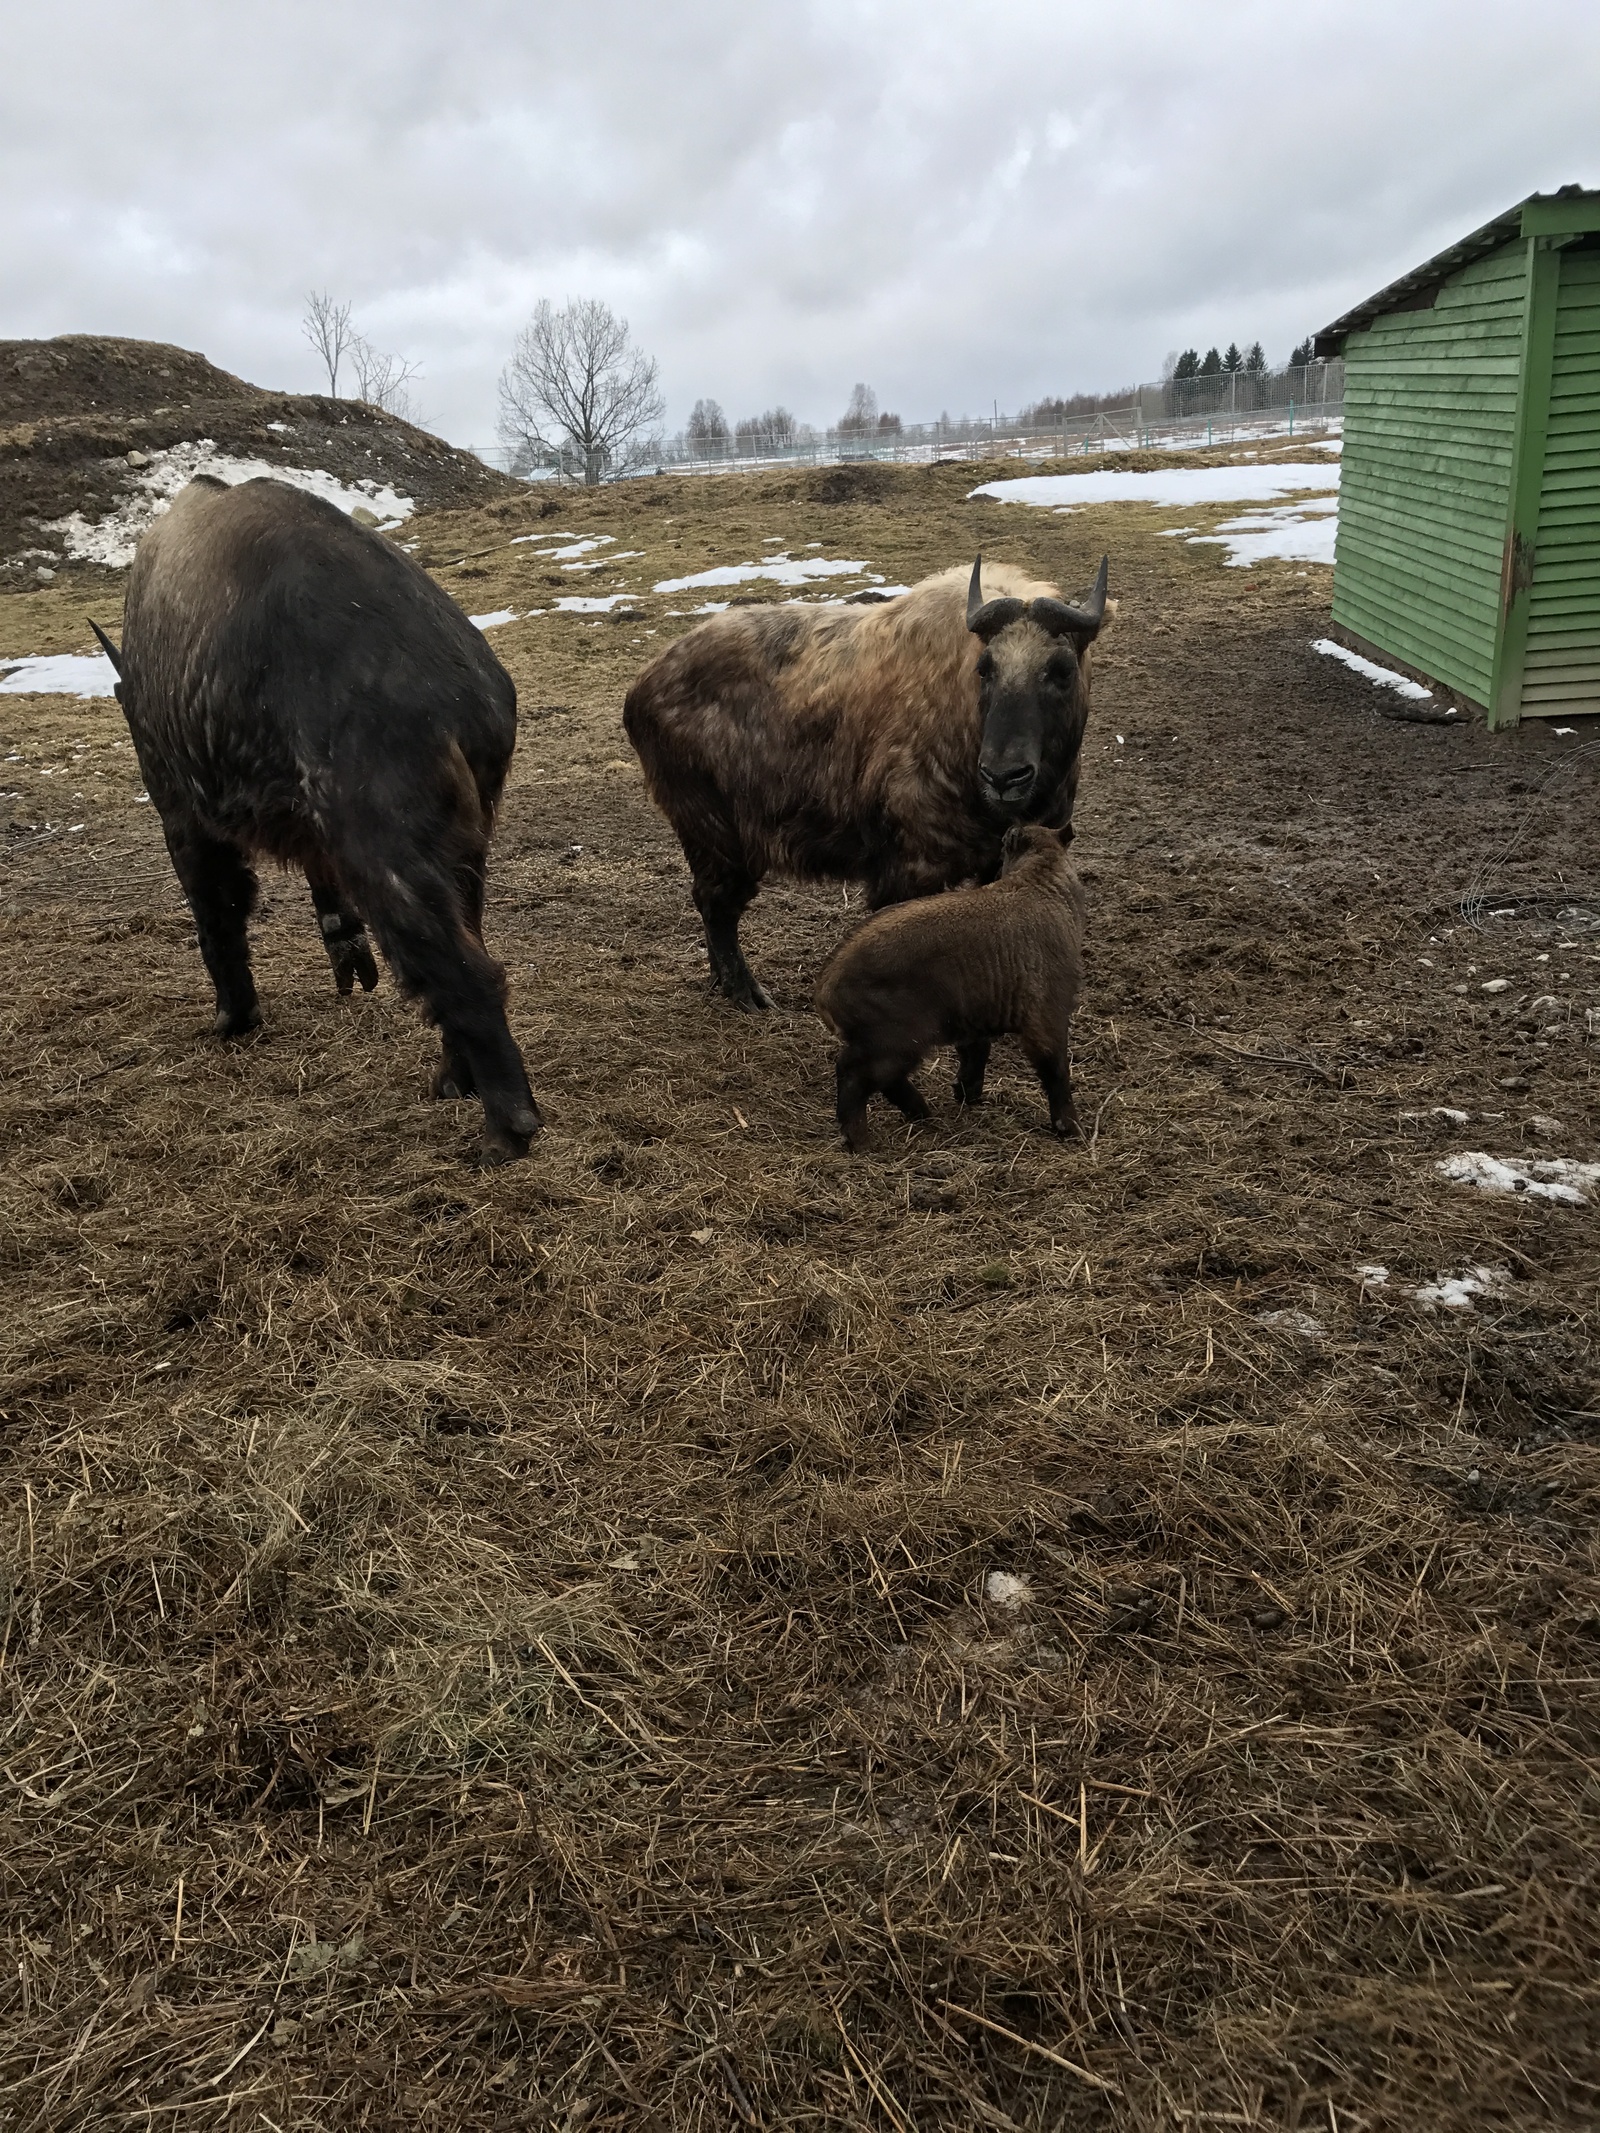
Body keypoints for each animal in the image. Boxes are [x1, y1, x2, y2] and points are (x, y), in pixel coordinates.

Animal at [93, 475, 546, 1160]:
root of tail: (462, 693)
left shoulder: (183, 811)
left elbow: (218, 918)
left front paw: (235, 1020)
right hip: (465, 849)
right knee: (466, 950)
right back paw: (454, 1078)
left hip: (385, 854)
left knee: (470, 976)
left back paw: (507, 1128)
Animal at [631, 554, 1117, 1011]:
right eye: (986, 669)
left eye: (1062, 670)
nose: (1002, 776)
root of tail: (645, 682)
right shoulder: (909, 872)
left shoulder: (1000, 863)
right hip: (715, 832)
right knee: (716, 905)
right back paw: (743, 991)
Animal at [819, 819, 1083, 1151]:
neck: (1041, 883)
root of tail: (826, 987)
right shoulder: (1047, 1016)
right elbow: (1055, 1069)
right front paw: (1068, 1125)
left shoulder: (976, 1016)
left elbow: (975, 1053)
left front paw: (967, 1093)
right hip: (895, 1041)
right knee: (853, 1074)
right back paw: (859, 1138)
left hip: (893, 1043)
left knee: (881, 1079)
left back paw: (919, 1111)